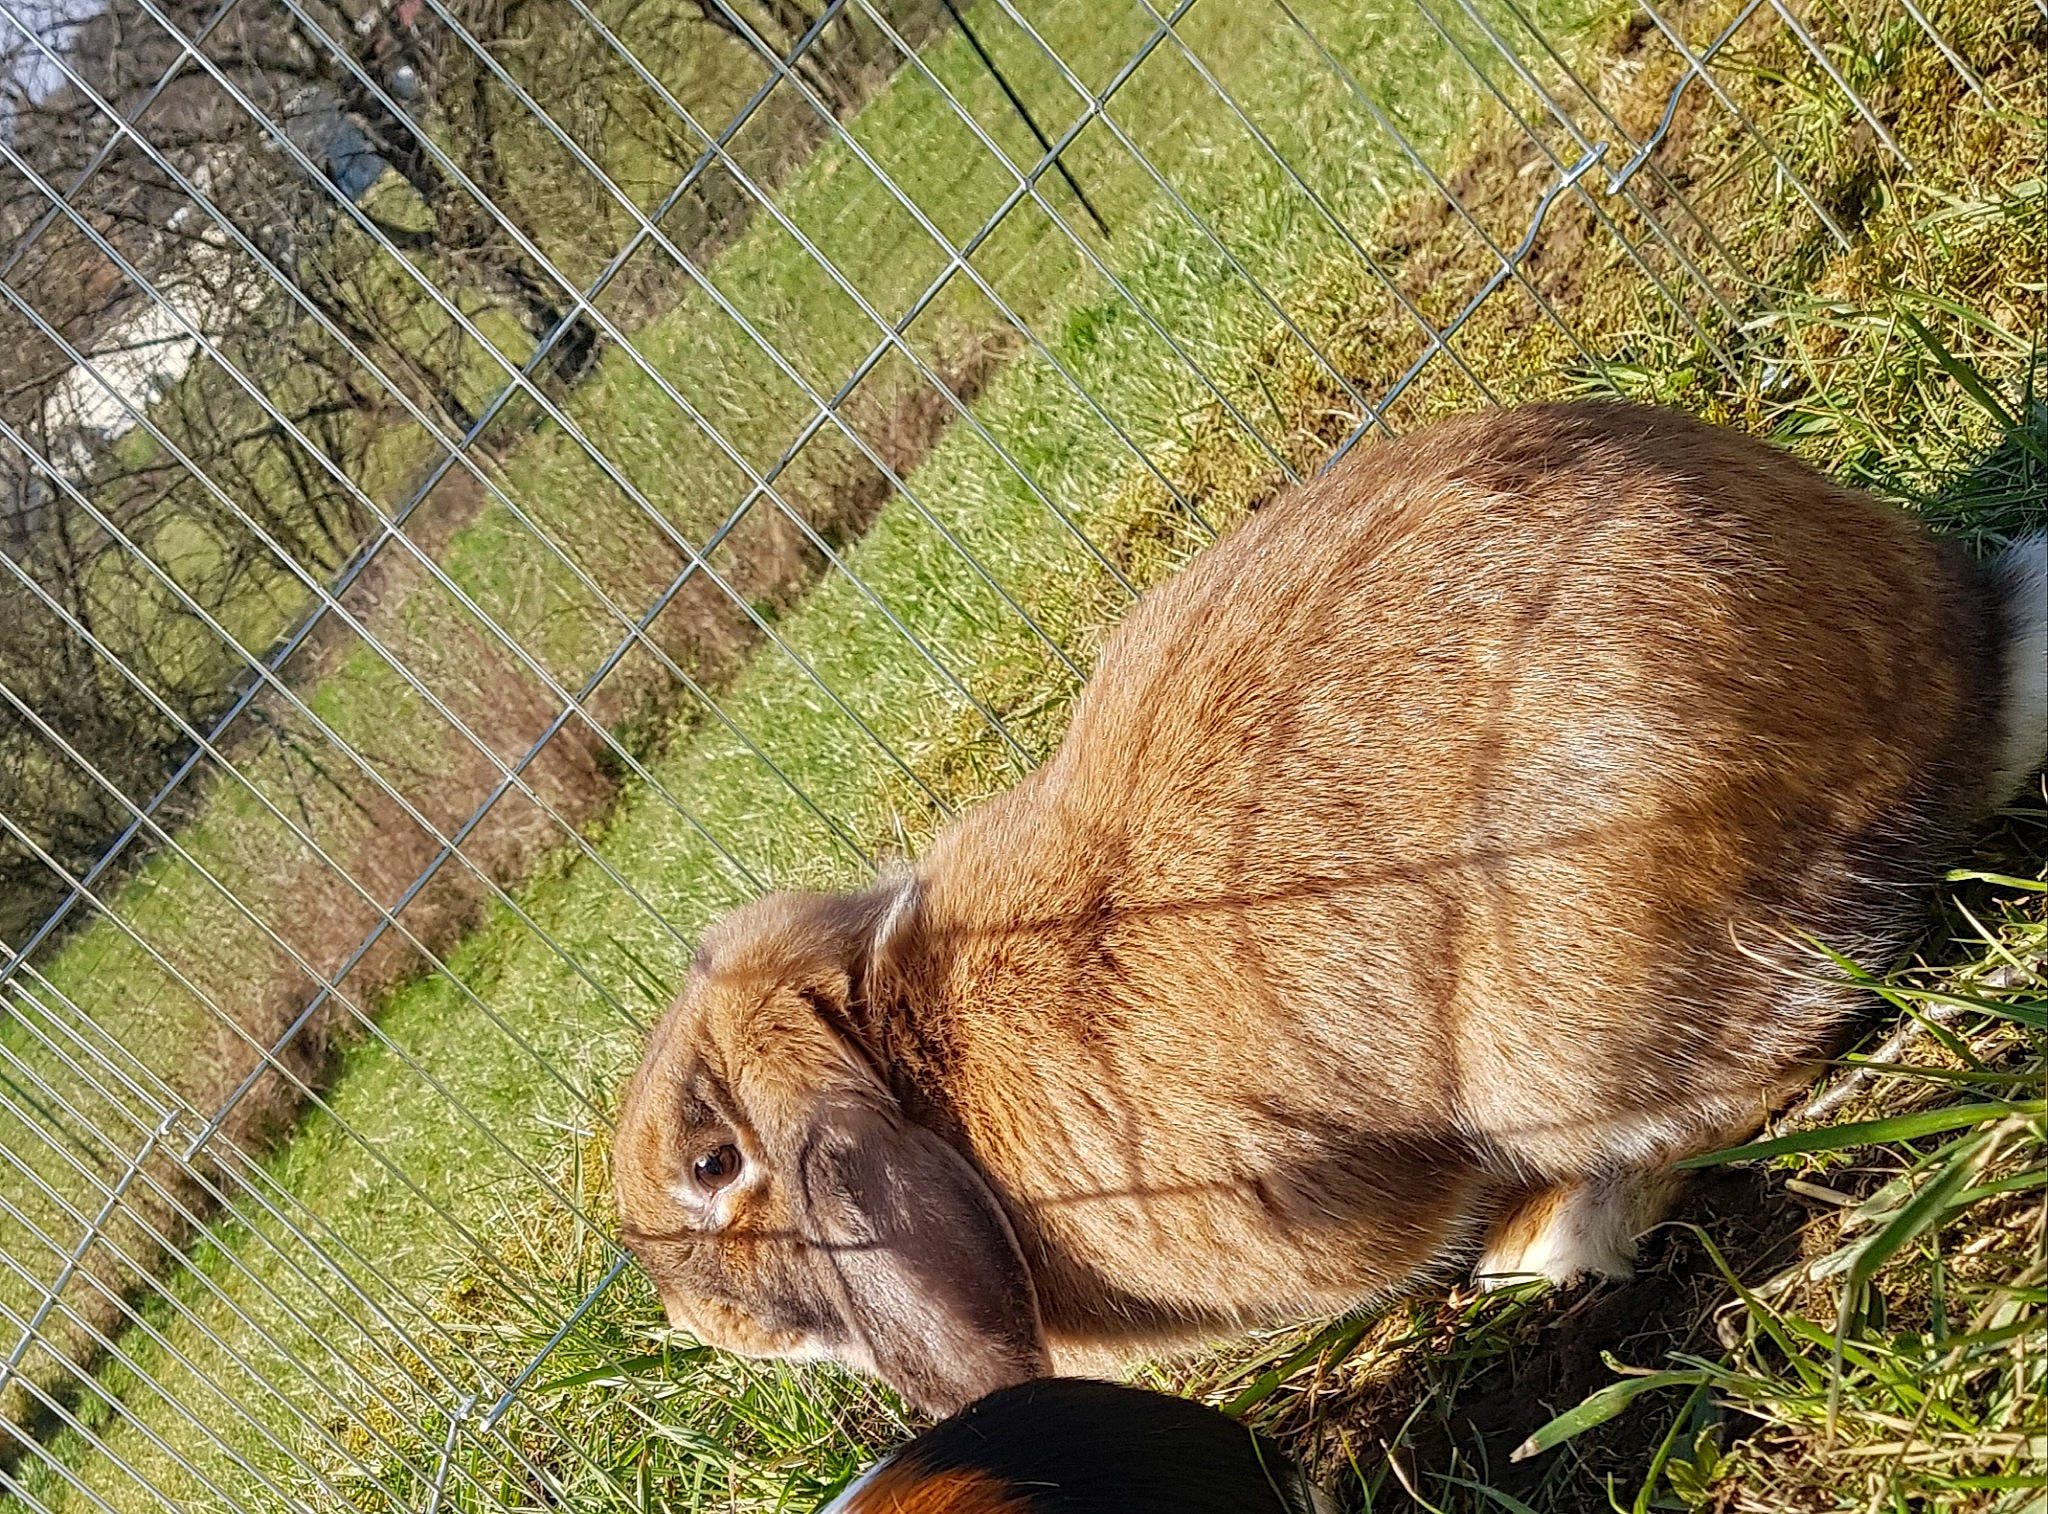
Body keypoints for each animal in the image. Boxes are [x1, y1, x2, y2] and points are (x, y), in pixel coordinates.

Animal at [615, 401, 2048, 1417]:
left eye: (712, 1165)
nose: (689, 1320)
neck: (913, 1065)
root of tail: (1963, 659)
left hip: (1568, 1015)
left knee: (1752, 1063)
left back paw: (1544, 1235)